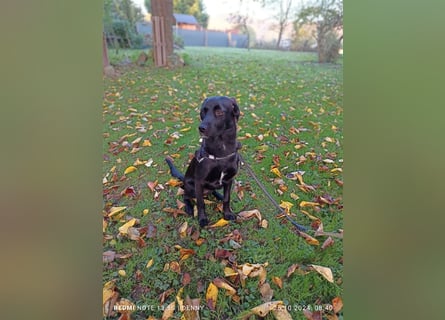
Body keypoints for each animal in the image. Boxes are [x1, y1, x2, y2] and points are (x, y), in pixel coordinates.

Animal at [165, 95, 239, 228]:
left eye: (219, 112)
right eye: (203, 111)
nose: (201, 128)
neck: (221, 151)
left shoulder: (229, 179)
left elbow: (227, 199)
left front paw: (227, 213)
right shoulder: (199, 182)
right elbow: (201, 203)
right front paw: (202, 219)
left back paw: (218, 196)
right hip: (190, 186)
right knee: (186, 196)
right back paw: (189, 208)